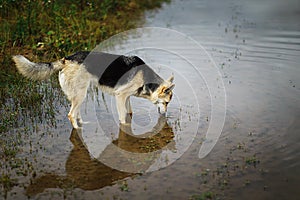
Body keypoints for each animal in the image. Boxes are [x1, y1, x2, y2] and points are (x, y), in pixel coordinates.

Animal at [12, 51, 175, 129]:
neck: (146, 79)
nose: (165, 116)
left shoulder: (126, 97)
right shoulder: (120, 96)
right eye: (166, 103)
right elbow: (123, 119)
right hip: (81, 93)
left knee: (75, 112)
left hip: (78, 94)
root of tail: (66, 59)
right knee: (71, 114)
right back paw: (78, 130)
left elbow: (130, 113)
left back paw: (83, 124)